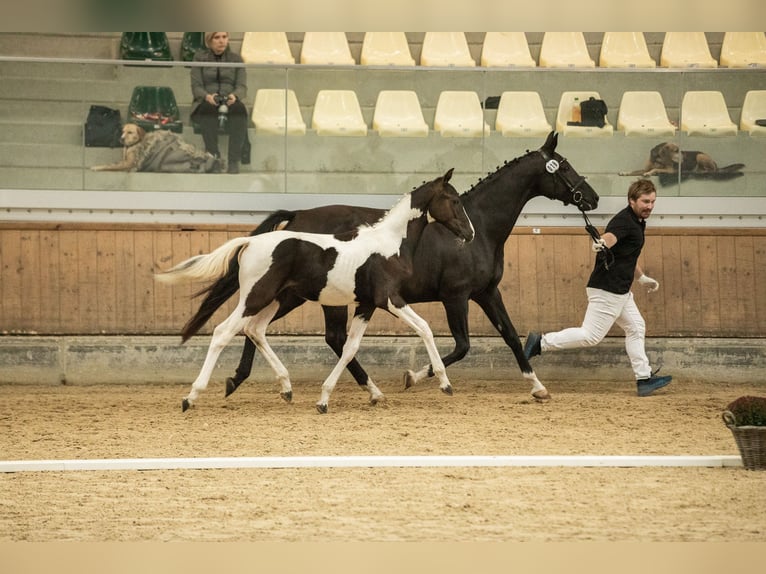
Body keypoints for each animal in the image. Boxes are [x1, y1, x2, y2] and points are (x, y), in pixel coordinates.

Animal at [91, 124, 222, 173]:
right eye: (122, 131)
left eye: (130, 132)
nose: (121, 139)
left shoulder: (129, 163)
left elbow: (109, 165)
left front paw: (96, 167)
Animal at [156, 169, 474, 416]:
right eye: (455, 200)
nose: (469, 234)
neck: (390, 243)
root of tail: (250, 242)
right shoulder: (389, 299)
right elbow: (425, 328)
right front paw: (445, 384)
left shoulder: (366, 305)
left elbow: (350, 348)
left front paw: (327, 400)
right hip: (257, 296)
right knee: (224, 331)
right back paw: (191, 397)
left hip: (279, 298)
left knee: (255, 330)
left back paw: (286, 388)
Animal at [182, 132, 600, 400]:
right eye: (563, 166)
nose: (592, 198)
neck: (482, 226)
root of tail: (297, 216)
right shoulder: (456, 296)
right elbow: (461, 345)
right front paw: (415, 378)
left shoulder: (486, 293)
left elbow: (511, 336)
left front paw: (538, 387)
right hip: (310, 297)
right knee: (312, 335)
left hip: (295, 294)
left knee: (260, 329)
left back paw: (244, 381)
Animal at [620, 141, 748, 182]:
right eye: (676, 151)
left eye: (680, 150)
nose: (684, 157)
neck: (658, 159)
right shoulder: (644, 168)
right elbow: (634, 171)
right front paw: (625, 172)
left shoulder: (670, 170)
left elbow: (655, 169)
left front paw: (649, 174)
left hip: (700, 156)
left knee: (712, 171)